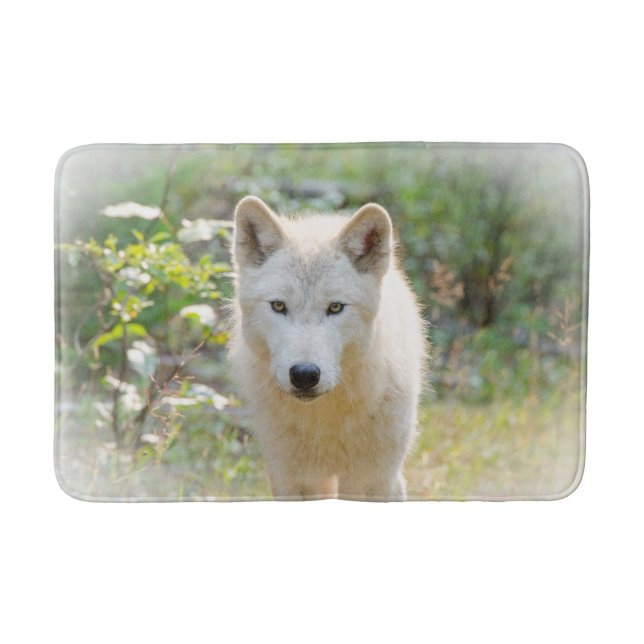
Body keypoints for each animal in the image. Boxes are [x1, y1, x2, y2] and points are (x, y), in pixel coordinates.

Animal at [228, 195, 427, 501]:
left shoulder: (375, 480)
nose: (304, 375)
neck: (325, 419)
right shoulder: (293, 480)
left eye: (335, 307)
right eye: (278, 306)